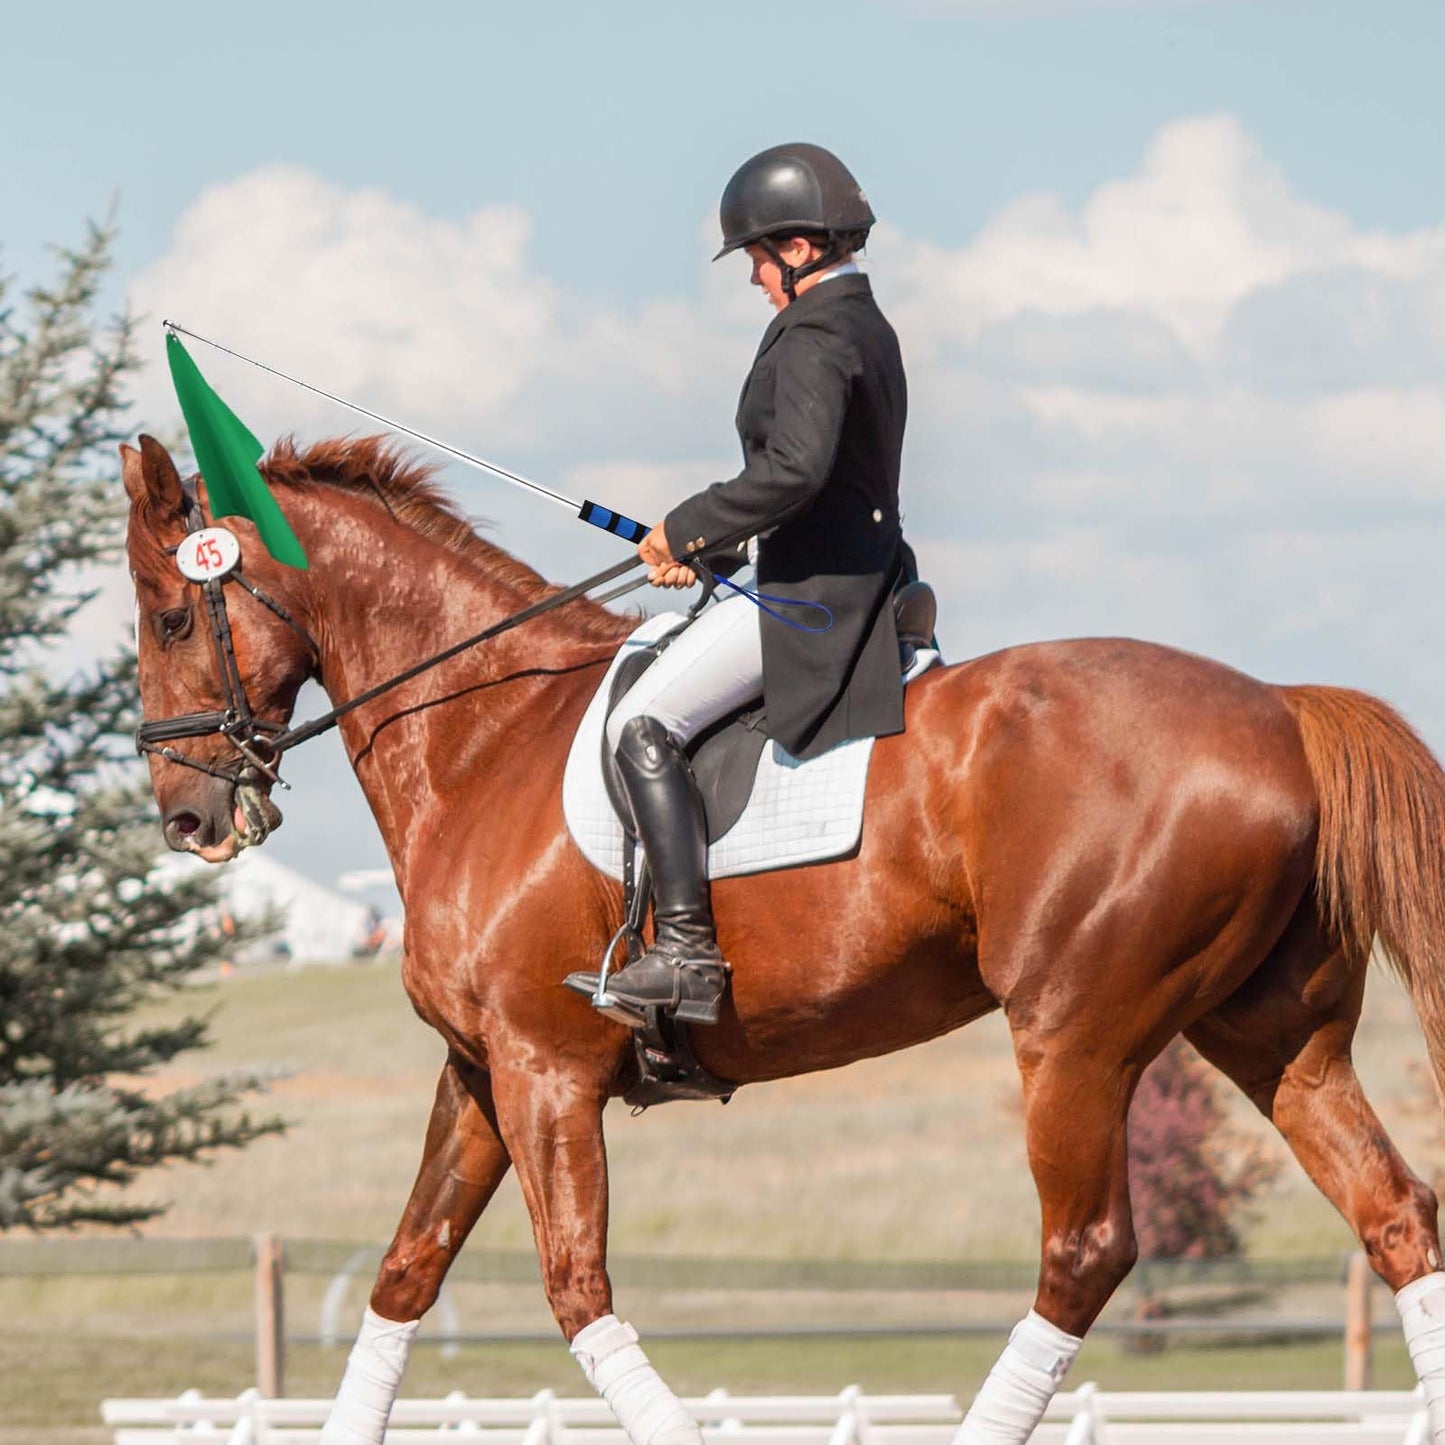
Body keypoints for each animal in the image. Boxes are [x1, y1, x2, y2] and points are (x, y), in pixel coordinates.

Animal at [122, 431, 1445, 1443]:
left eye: (175, 615)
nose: (186, 817)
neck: (482, 735)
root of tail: (1276, 709)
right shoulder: (481, 1071)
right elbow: (406, 1271)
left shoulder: (546, 1071)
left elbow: (576, 1290)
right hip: (1273, 1037)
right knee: (1393, 1215)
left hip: (1074, 1036)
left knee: (1081, 1251)